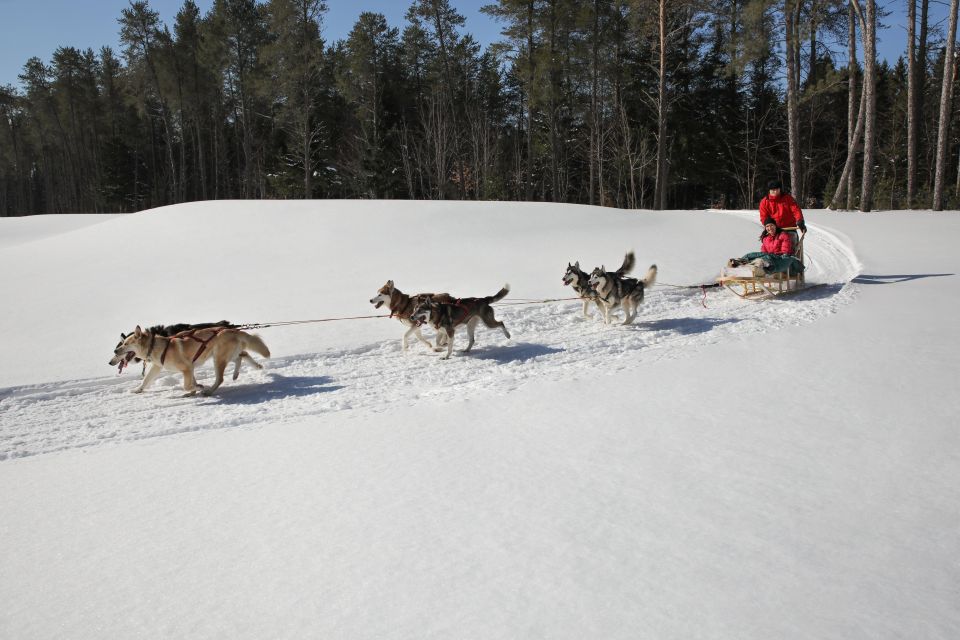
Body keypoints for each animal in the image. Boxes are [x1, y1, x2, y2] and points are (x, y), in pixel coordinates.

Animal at [110, 324, 272, 396]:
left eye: (125, 344)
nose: (114, 352)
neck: (156, 346)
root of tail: (231, 329)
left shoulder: (187, 368)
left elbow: (187, 385)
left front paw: (199, 388)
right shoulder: (160, 367)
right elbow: (146, 380)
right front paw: (137, 389)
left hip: (218, 359)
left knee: (220, 378)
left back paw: (209, 391)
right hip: (225, 355)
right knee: (242, 356)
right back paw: (244, 371)